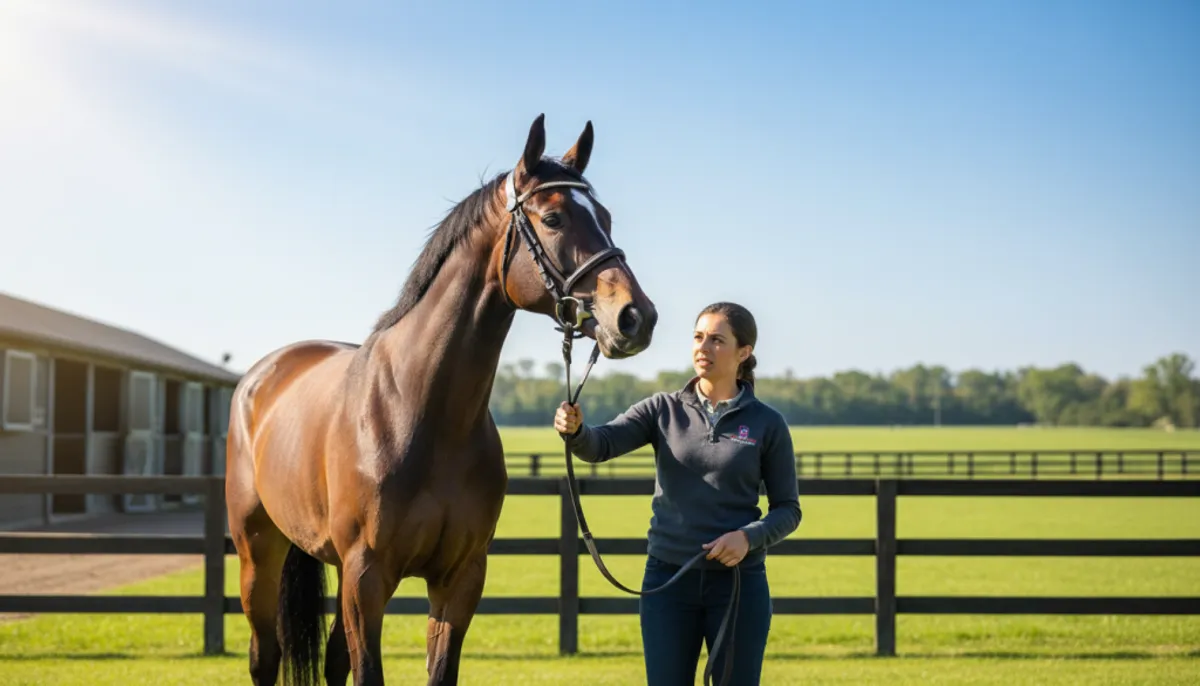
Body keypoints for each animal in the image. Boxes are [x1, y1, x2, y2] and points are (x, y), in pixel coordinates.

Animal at [224, 114, 659, 686]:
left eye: (605, 217)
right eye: (553, 217)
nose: (636, 317)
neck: (422, 413)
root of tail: (262, 376)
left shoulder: (461, 578)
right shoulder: (366, 580)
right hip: (259, 552)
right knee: (265, 656)